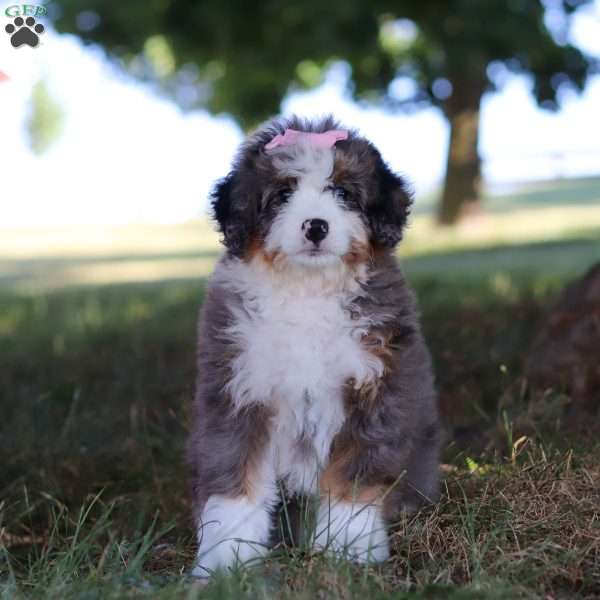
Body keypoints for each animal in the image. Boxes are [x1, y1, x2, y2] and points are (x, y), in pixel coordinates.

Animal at [189, 113, 440, 576]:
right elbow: (236, 479)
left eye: (343, 193)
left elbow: (351, 482)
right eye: (283, 194)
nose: (316, 226)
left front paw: (349, 550)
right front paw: (225, 559)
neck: (308, 290)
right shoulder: (240, 390)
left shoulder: (372, 391)